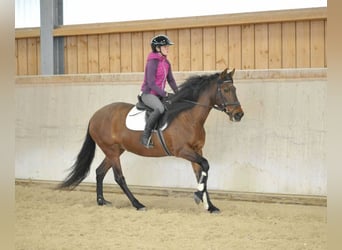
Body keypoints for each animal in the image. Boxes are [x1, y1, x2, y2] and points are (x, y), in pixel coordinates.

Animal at [58, 68, 243, 213]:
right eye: (226, 89)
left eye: (234, 88)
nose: (239, 115)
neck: (189, 117)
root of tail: (95, 116)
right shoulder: (183, 151)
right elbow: (205, 165)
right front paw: (198, 196)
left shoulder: (197, 150)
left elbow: (201, 174)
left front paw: (210, 206)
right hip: (111, 151)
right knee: (119, 177)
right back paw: (137, 204)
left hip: (115, 151)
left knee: (99, 172)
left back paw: (101, 201)